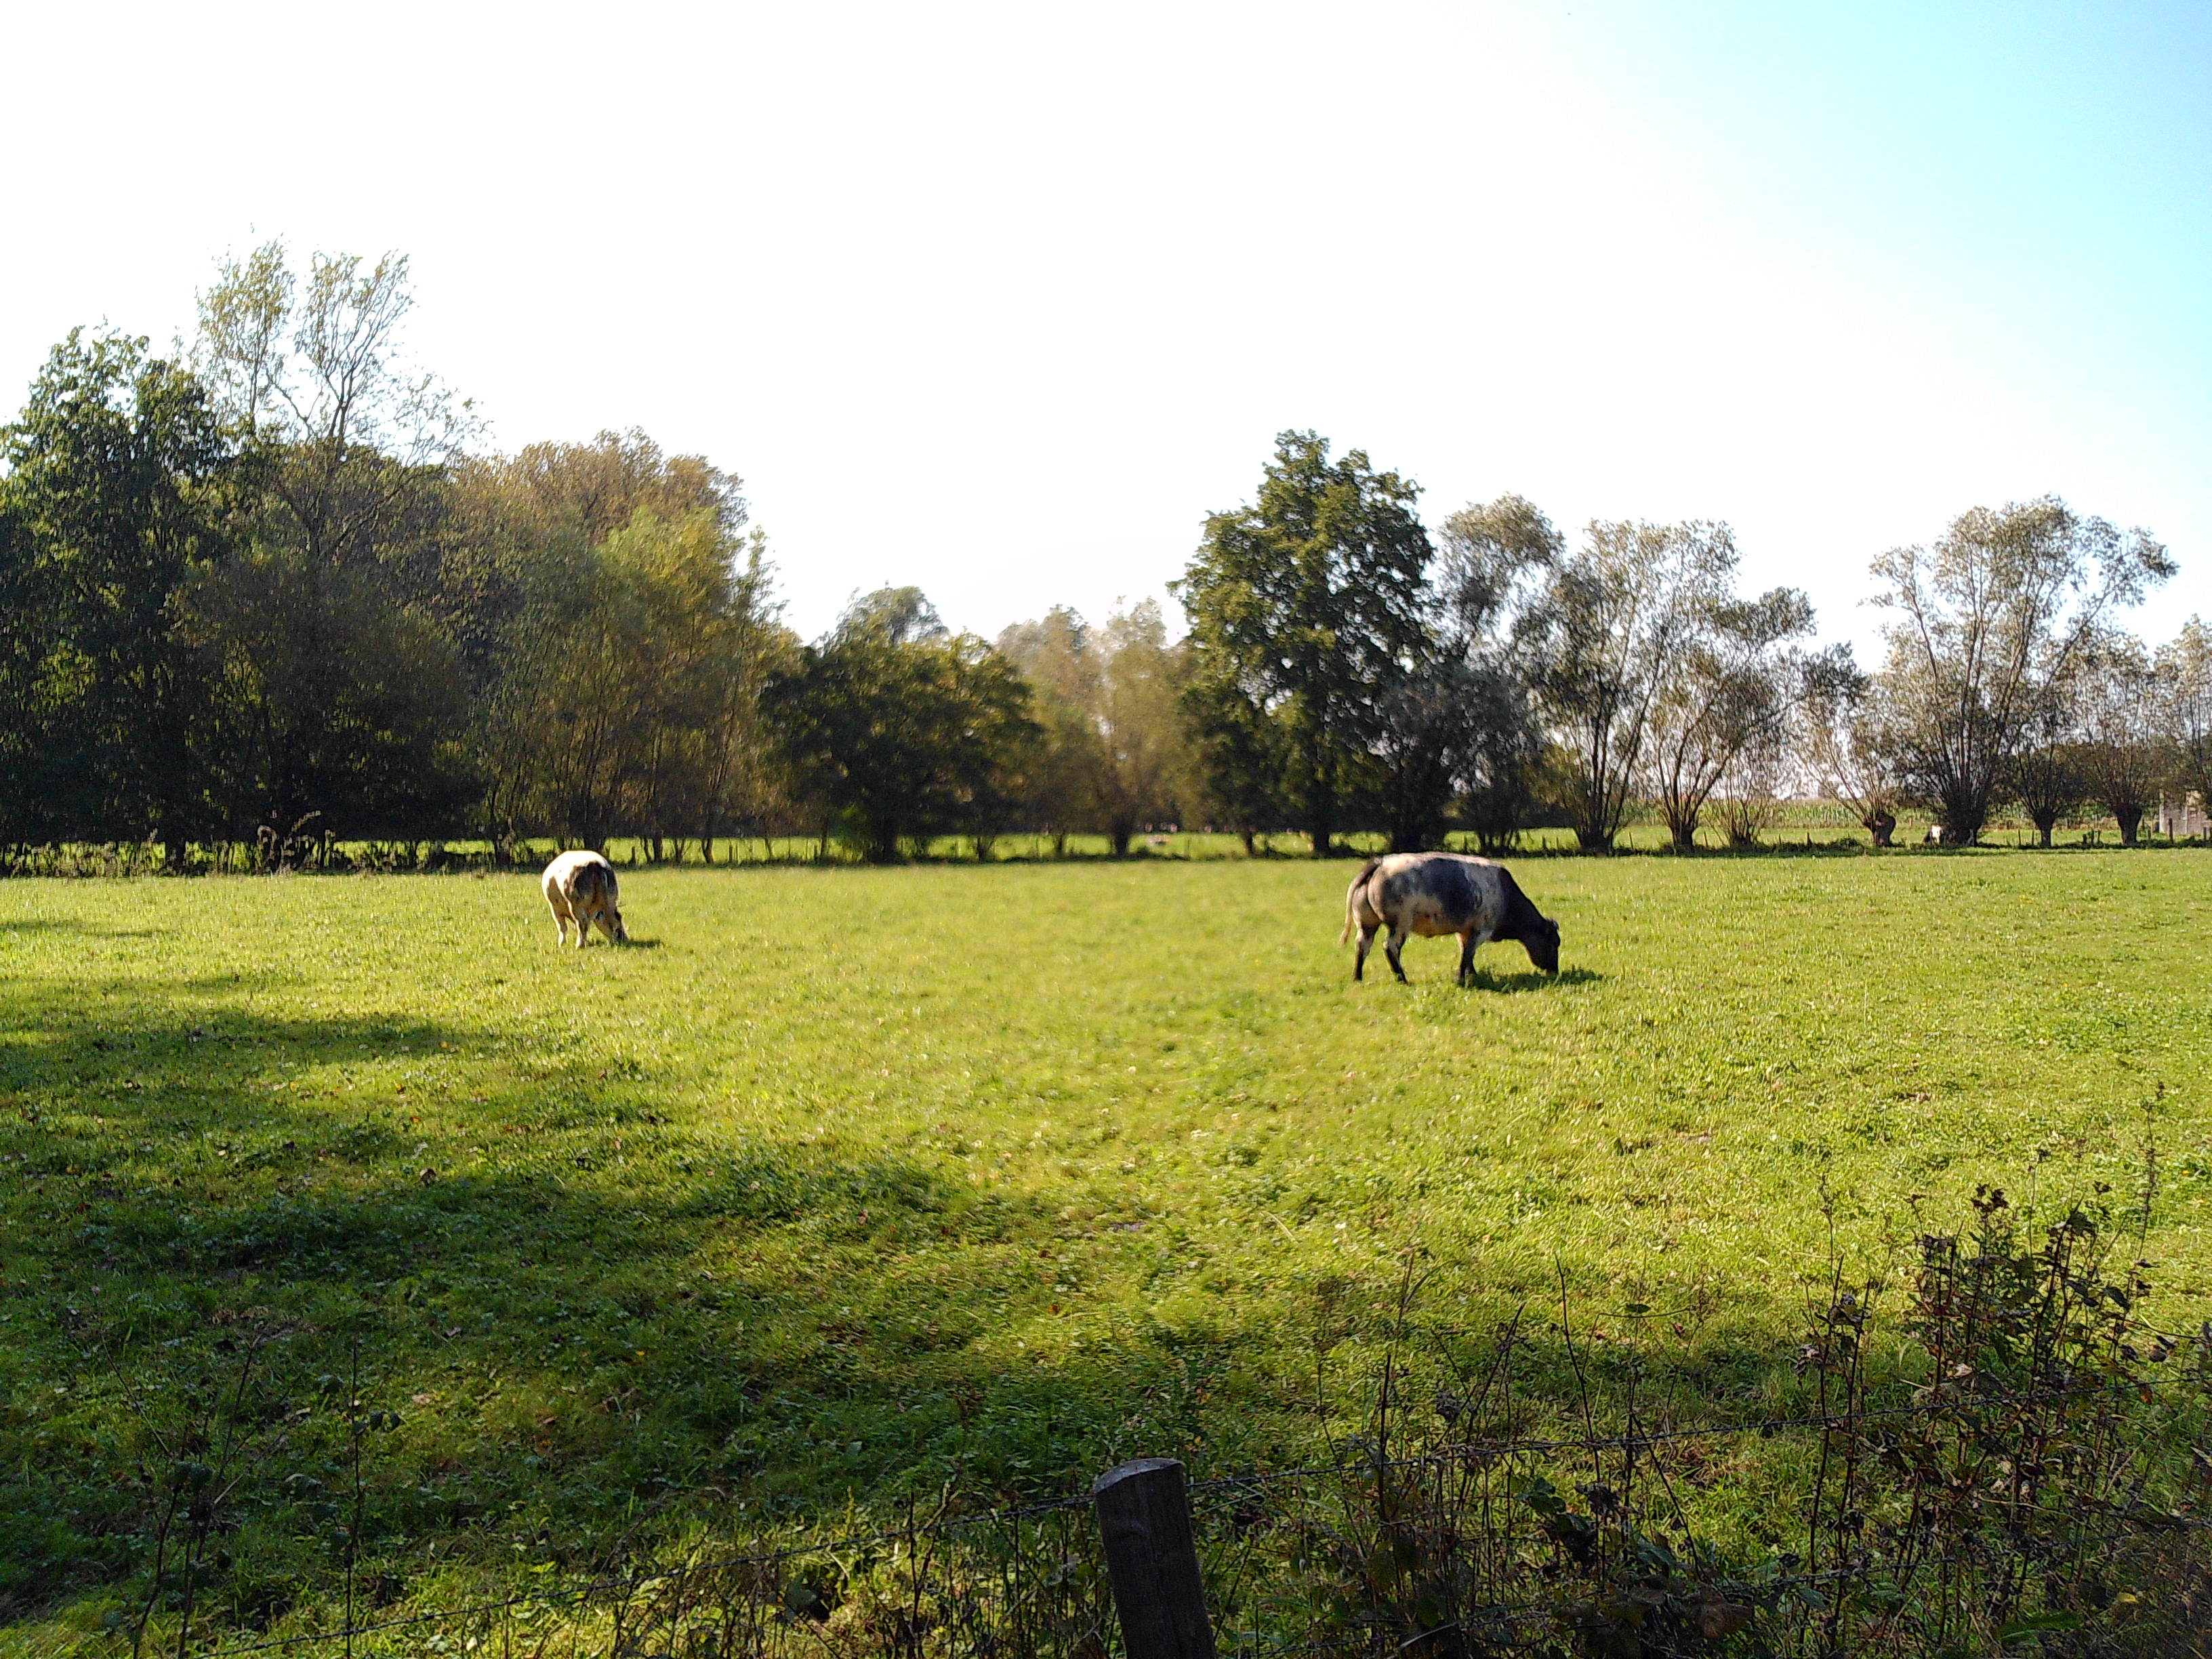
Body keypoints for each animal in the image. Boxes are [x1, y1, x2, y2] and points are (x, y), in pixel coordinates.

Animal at [542, 849, 629, 949]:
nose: (624, 939)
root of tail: (595, 864)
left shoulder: (554, 908)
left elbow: (562, 926)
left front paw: (562, 943)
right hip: (611, 900)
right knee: (615, 919)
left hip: (576, 905)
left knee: (581, 923)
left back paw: (579, 945)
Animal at [1340, 852, 1560, 985]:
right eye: (1554, 943)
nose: (1555, 970)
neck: (1506, 895)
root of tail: (1380, 863)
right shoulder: (1482, 929)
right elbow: (1468, 953)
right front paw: (1461, 978)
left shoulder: (1464, 931)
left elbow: (1467, 953)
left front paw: (1473, 974)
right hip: (1400, 924)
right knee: (1391, 947)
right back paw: (1403, 979)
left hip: (1367, 924)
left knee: (1362, 945)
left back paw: (1357, 977)